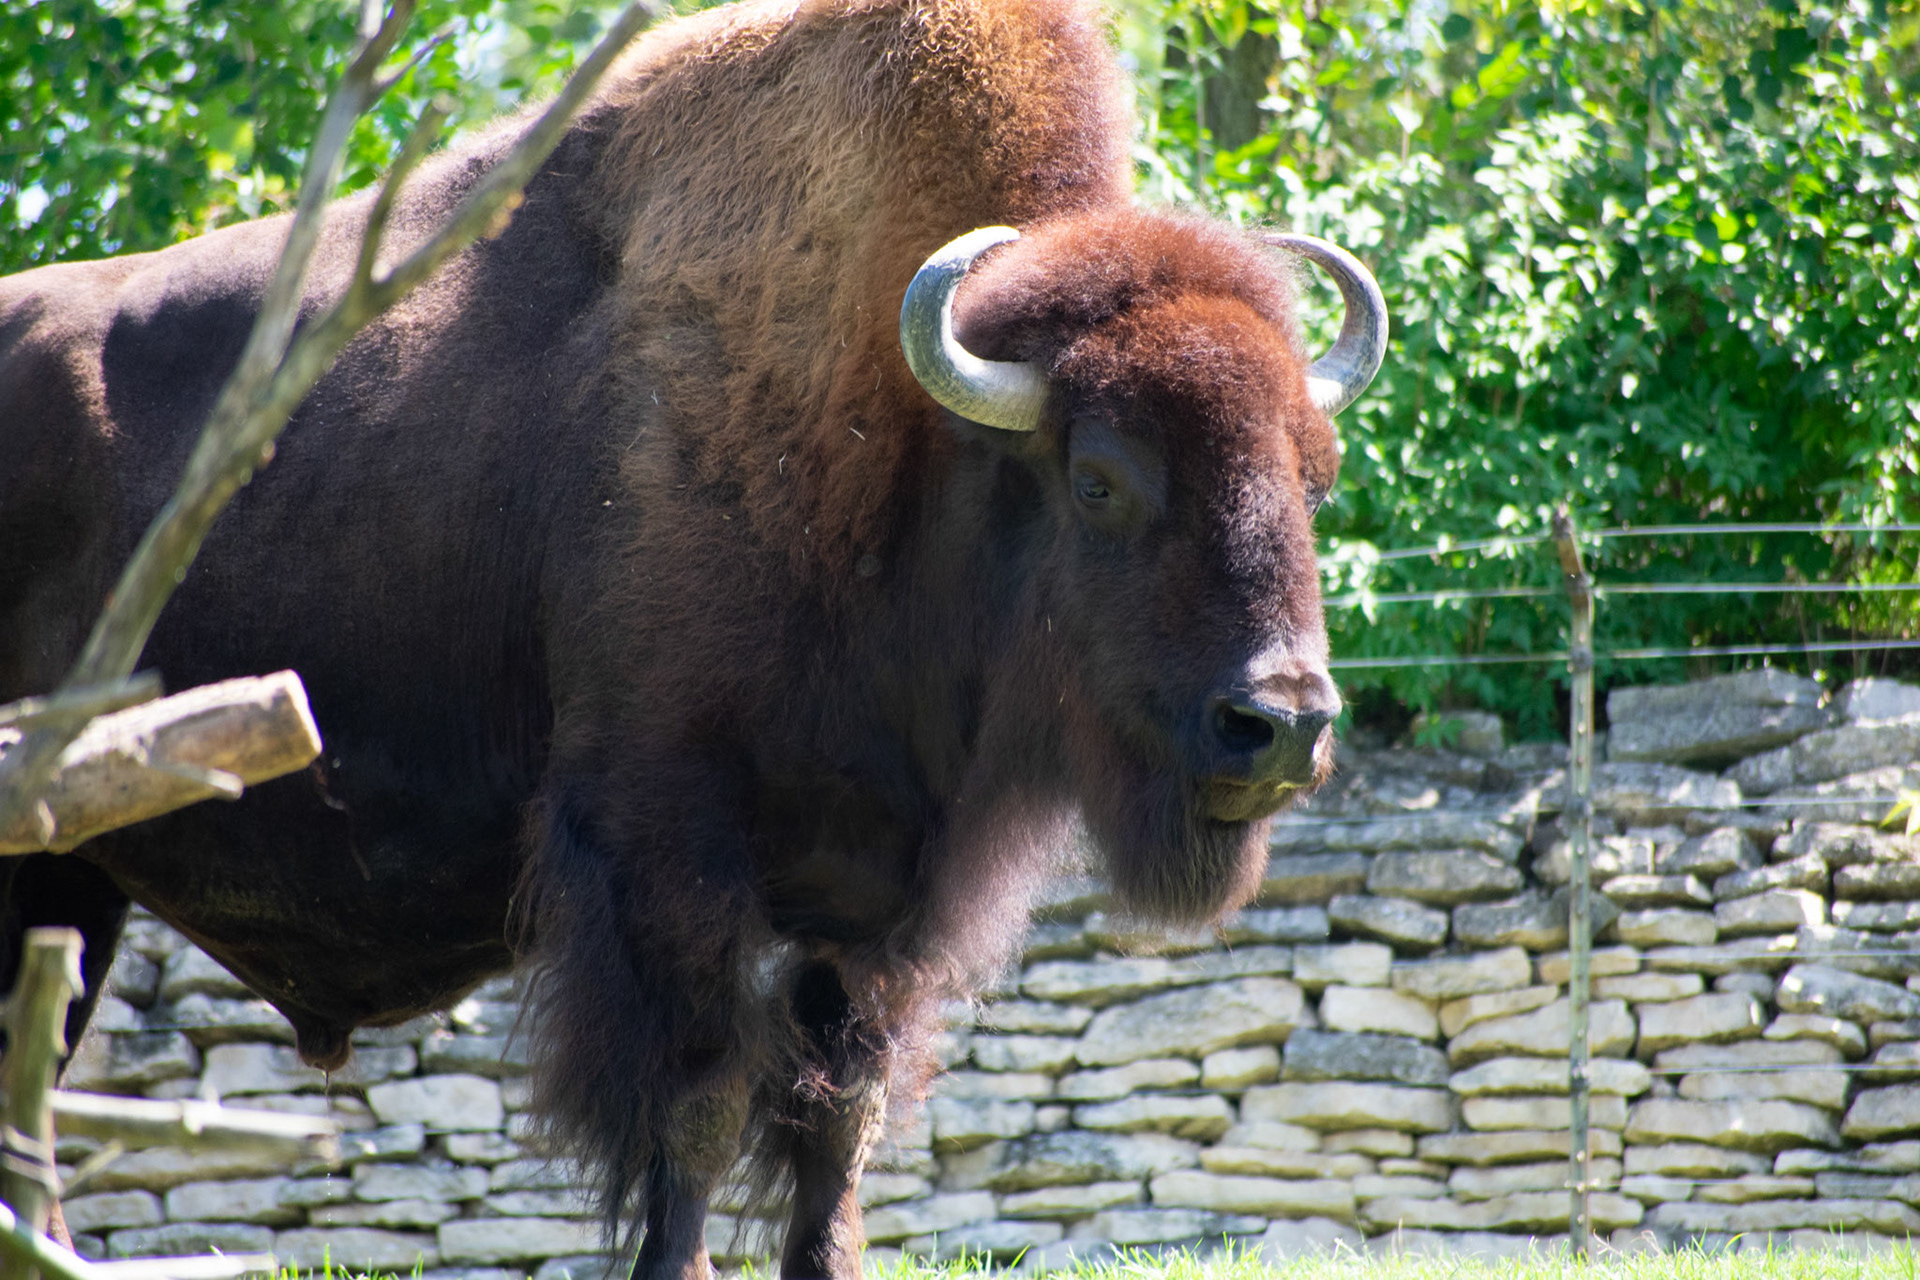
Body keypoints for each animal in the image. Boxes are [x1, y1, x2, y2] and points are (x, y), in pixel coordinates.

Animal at [0, 0, 1384, 1275]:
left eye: (1313, 473)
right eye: (1098, 478)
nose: (1280, 724)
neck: (895, 431)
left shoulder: (873, 903)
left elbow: (838, 1120)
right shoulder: (666, 846)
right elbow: (702, 1105)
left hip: (80, 865)